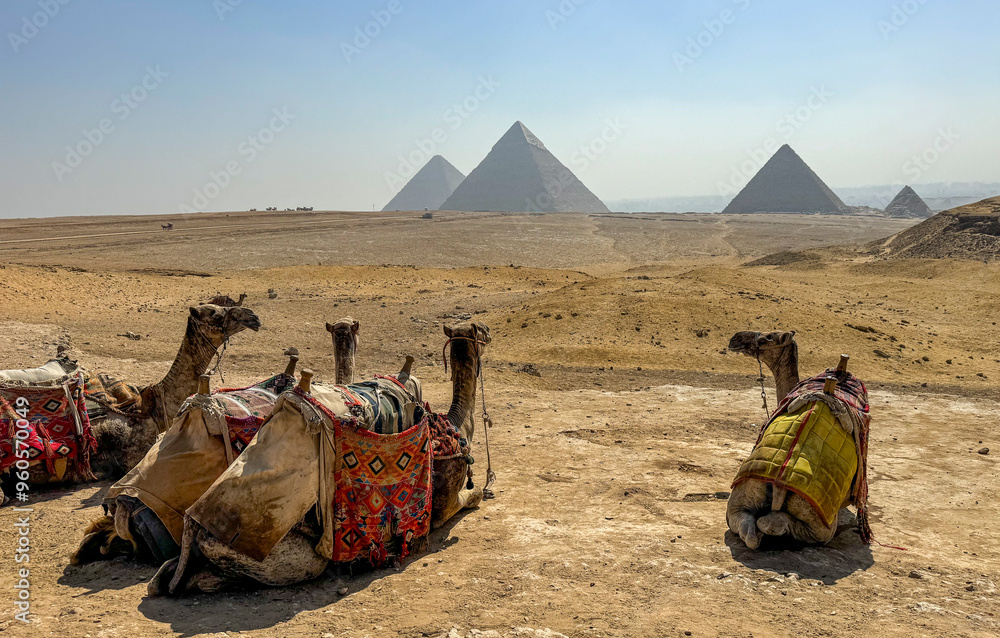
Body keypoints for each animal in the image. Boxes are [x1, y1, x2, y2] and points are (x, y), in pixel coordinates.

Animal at [149, 321, 491, 595]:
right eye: (481, 332)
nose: (489, 333)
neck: (456, 426)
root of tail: (195, 524)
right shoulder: (443, 504)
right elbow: (470, 497)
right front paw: (483, 492)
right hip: (287, 555)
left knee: (164, 578)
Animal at [726, 331, 871, 549]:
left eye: (767, 338)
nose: (734, 339)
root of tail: (779, 482)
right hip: (818, 522)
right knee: (778, 524)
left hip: (742, 498)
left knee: (748, 528)